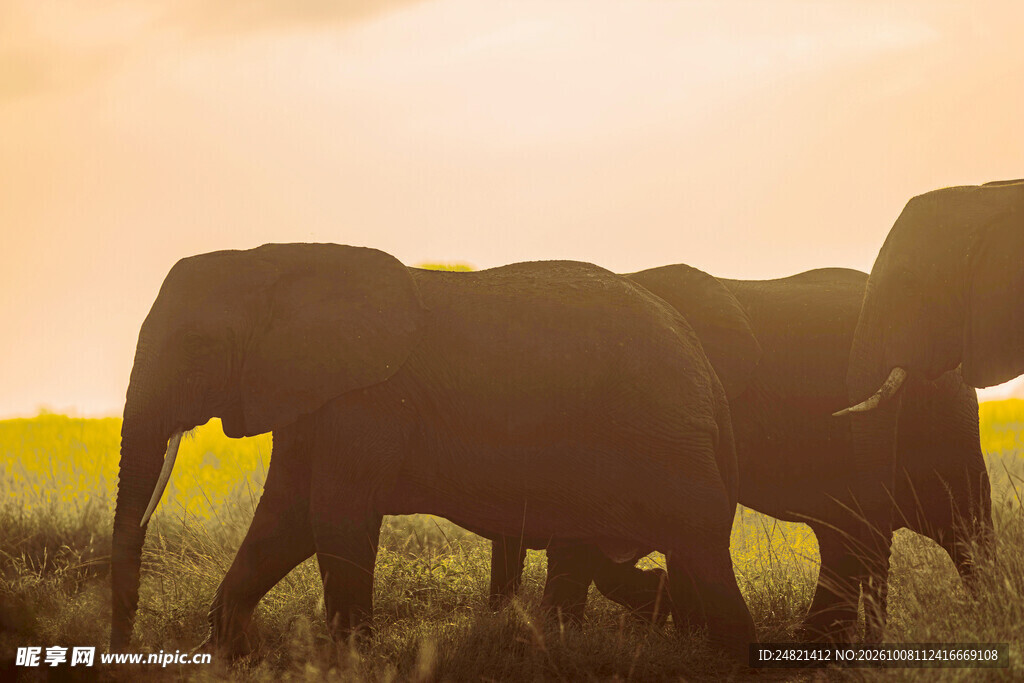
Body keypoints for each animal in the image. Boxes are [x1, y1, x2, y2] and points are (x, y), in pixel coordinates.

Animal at [109, 243, 760, 661]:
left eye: (198, 345)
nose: (126, 648)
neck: (274, 259)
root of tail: (706, 369)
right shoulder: (311, 389)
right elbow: (286, 518)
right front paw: (227, 653)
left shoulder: (368, 398)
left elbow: (333, 515)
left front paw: (351, 663)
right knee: (593, 548)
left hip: (664, 436)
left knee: (697, 542)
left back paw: (726, 658)